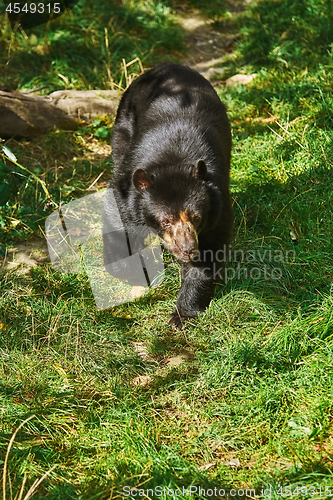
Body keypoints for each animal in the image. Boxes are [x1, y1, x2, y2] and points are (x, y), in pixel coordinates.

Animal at [103, 62, 231, 328]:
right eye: (165, 221)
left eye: (196, 217)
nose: (188, 248)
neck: (173, 161)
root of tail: (168, 65)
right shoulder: (127, 191)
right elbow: (118, 221)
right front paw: (137, 272)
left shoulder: (217, 206)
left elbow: (209, 253)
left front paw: (181, 315)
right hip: (123, 127)